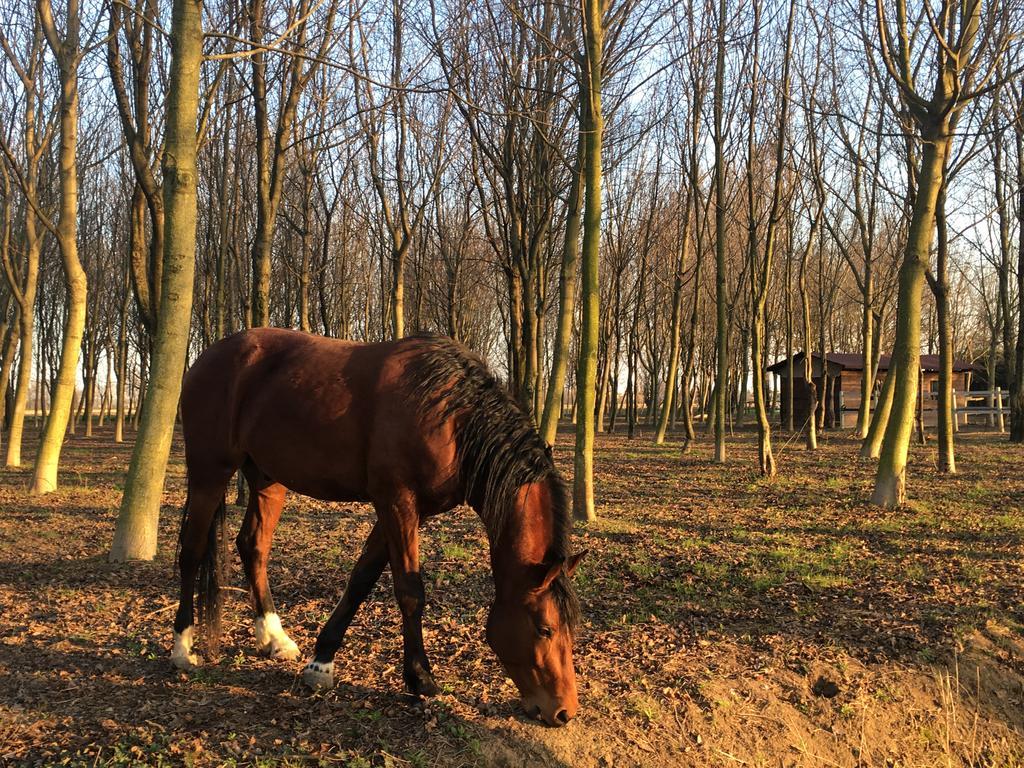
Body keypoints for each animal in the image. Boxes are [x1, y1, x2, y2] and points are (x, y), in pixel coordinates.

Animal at [173, 329, 589, 729]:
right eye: (545, 629)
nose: (563, 712)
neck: (451, 417)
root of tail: (207, 357)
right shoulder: (397, 502)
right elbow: (410, 591)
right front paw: (420, 678)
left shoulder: (407, 511)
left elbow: (362, 578)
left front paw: (321, 663)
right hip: (210, 472)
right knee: (191, 553)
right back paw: (183, 647)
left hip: (267, 479)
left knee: (253, 547)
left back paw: (274, 639)